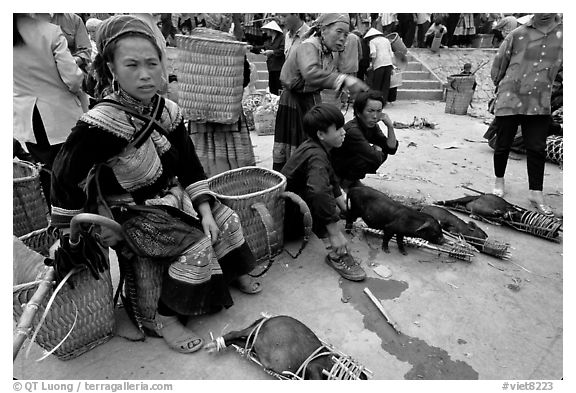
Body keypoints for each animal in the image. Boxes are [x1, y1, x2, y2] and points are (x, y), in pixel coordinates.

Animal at [207, 314, 368, 378]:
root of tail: (264, 321)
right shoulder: (313, 366)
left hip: (253, 343)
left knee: (241, 341)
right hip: (255, 331)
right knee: (235, 333)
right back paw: (211, 345)